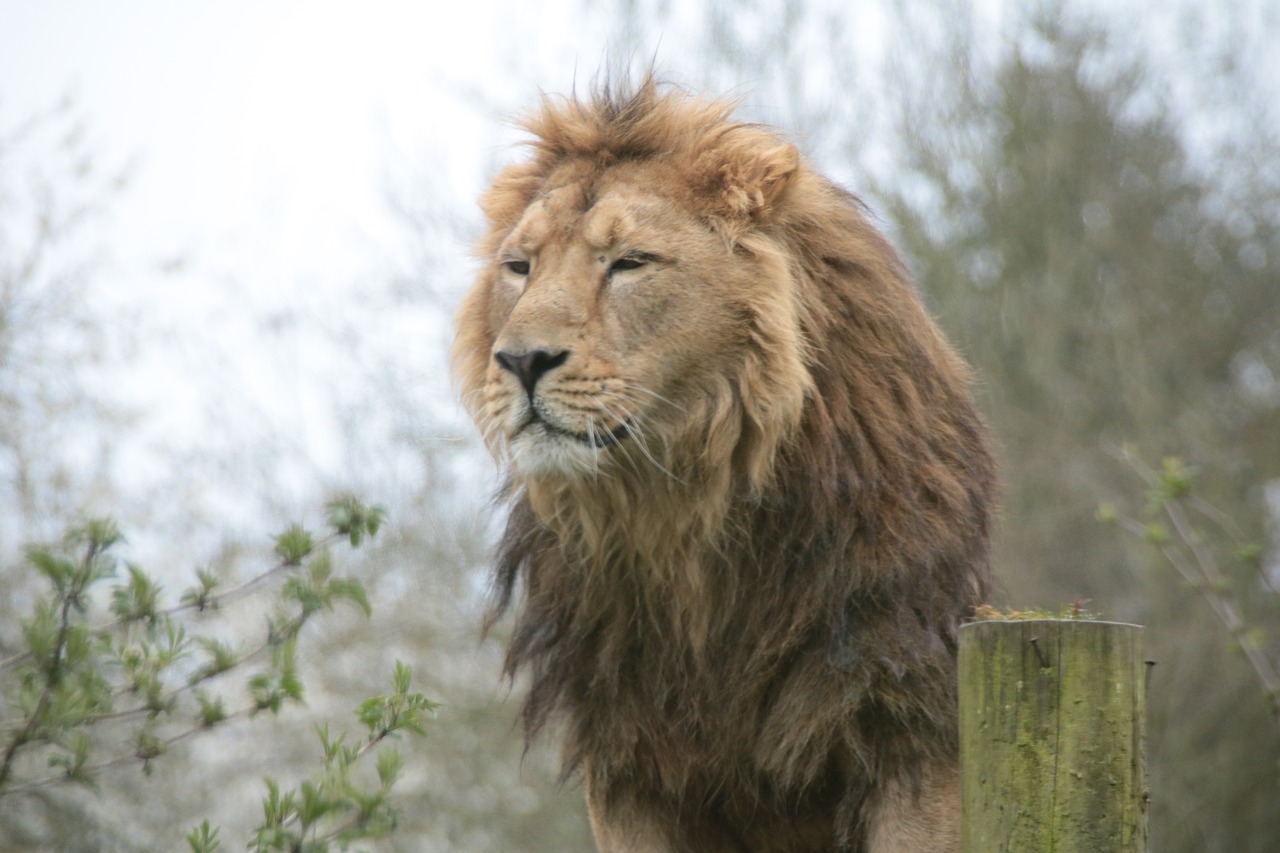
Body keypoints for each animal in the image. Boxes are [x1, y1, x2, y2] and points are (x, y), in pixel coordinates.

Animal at [453, 76, 998, 845]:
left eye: (629, 263)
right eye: (519, 268)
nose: (521, 360)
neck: (682, 511)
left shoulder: (908, 717)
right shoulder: (626, 761)